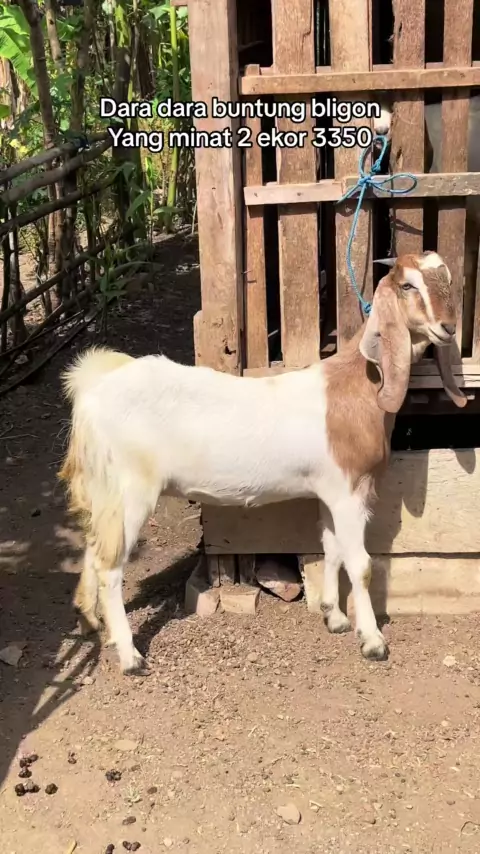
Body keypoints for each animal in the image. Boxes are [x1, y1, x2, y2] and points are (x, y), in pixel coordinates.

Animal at [59, 251, 467, 675]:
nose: (448, 328)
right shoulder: (349, 490)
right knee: (110, 566)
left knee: (93, 546)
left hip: (104, 489)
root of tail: (91, 391)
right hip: (130, 490)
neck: (358, 385)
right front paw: (371, 640)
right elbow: (360, 563)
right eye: (408, 285)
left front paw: (334, 616)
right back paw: (129, 655)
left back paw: (91, 621)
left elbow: (331, 547)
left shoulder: (328, 491)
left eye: (447, 278)